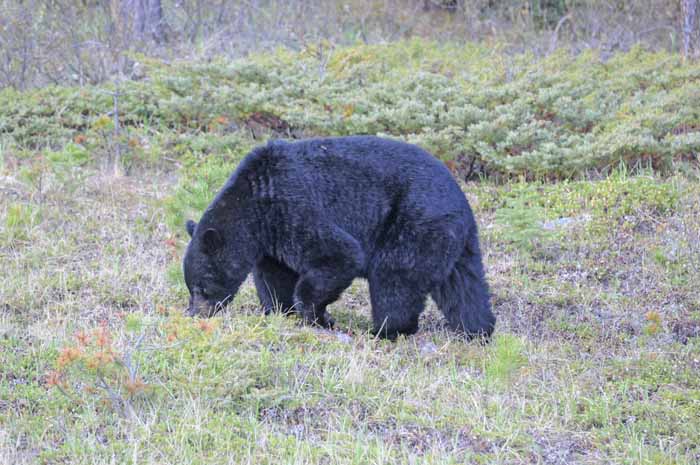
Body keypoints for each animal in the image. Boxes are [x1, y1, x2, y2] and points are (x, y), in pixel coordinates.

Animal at [183, 134, 494, 338]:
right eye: (191, 287)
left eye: (201, 287)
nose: (194, 313)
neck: (254, 204)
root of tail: (462, 203)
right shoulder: (271, 240)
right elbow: (275, 276)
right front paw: (281, 311)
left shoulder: (293, 208)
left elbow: (340, 255)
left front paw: (317, 316)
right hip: (454, 241)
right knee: (464, 288)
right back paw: (478, 329)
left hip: (413, 223)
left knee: (394, 280)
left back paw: (386, 330)